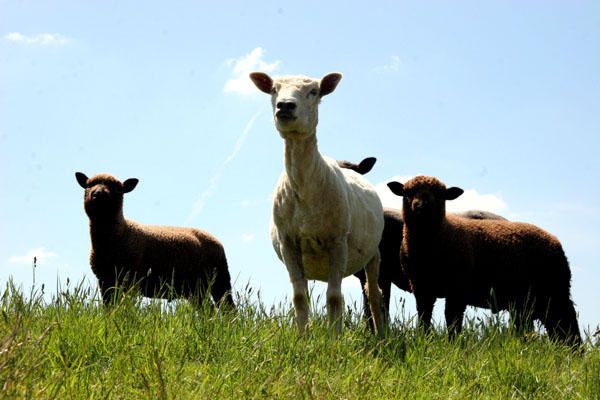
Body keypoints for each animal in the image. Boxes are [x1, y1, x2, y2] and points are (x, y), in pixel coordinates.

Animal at [75, 173, 234, 310]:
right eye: (89, 185)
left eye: (117, 188)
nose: (97, 194)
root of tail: (217, 241)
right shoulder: (105, 280)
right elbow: (109, 308)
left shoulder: (131, 279)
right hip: (196, 288)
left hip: (220, 279)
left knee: (227, 308)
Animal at [251, 72, 386, 334]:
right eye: (273, 89)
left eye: (314, 91)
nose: (285, 106)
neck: (305, 190)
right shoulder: (288, 242)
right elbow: (299, 297)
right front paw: (302, 336)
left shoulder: (337, 242)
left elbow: (334, 297)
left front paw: (335, 338)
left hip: (373, 254)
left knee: (375, 294)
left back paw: (382, 336)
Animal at [386, 175, 580, 344]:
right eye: (407, 192)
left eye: (440, 194)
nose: (421, 206)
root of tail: (555, 241)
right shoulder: (422, 289)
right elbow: (424, 319)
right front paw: (424, 340)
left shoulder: (458, 290)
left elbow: (453, 322)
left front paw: (453, 345)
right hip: (527, 300)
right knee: (540, 325)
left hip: (554, 290)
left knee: (566, 321)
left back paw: (573, 350)